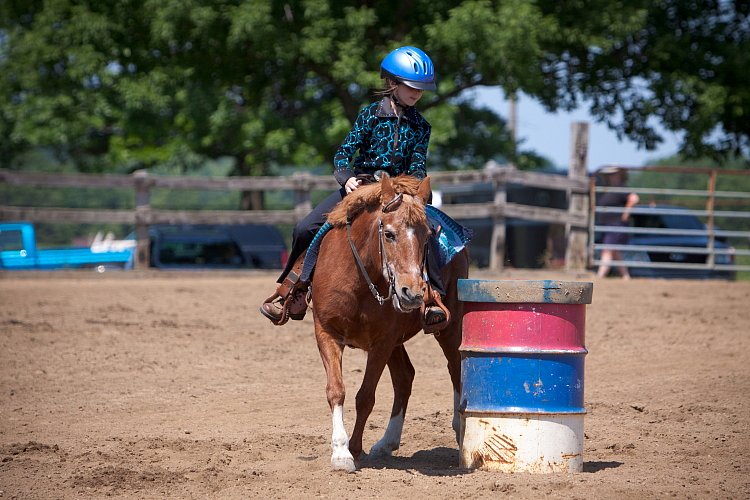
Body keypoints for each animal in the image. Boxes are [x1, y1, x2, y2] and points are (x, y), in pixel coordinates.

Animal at [312, 174, 470, 470]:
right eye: (389, 234)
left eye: (427, 236)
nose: (413, 292)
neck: (359, 281)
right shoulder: (326, 332)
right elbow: (336, 390)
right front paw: (340, 452)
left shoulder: (382, 343)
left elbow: (365, 397)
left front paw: (354, 448)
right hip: (398, 342)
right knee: (405, 377)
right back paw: (387, 442)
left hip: (450, 325)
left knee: (455, 367)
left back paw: (460, 430)